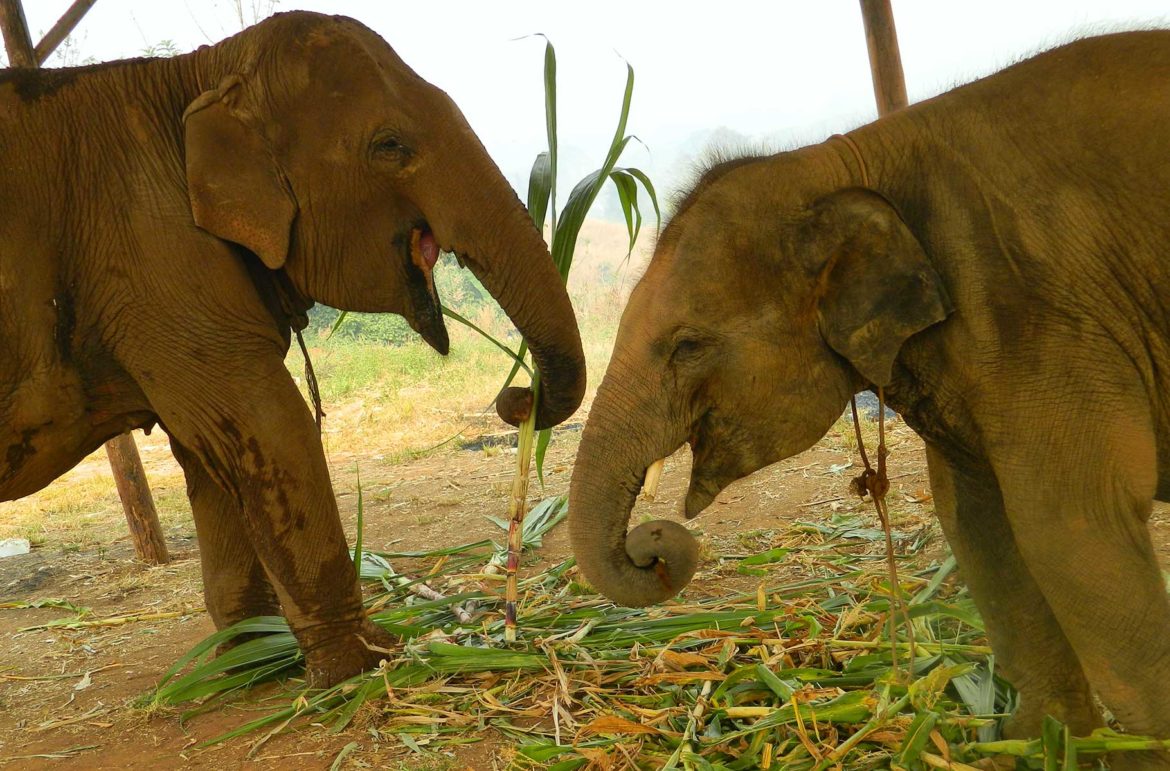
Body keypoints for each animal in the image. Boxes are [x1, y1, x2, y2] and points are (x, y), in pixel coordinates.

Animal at [0, 12, 585, 687]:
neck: (198, 73)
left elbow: (210, 453)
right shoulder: (148, 248)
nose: (518, 397)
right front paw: (366, 661)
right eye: (390, 146)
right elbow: (271, 426)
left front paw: (249, 659)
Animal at [568, 31, 1170, 767]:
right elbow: (980, 518)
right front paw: (1029, 743)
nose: (653, 545)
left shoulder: (1038, 316)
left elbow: (1071, 524)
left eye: (687, 344)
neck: (839, 157)